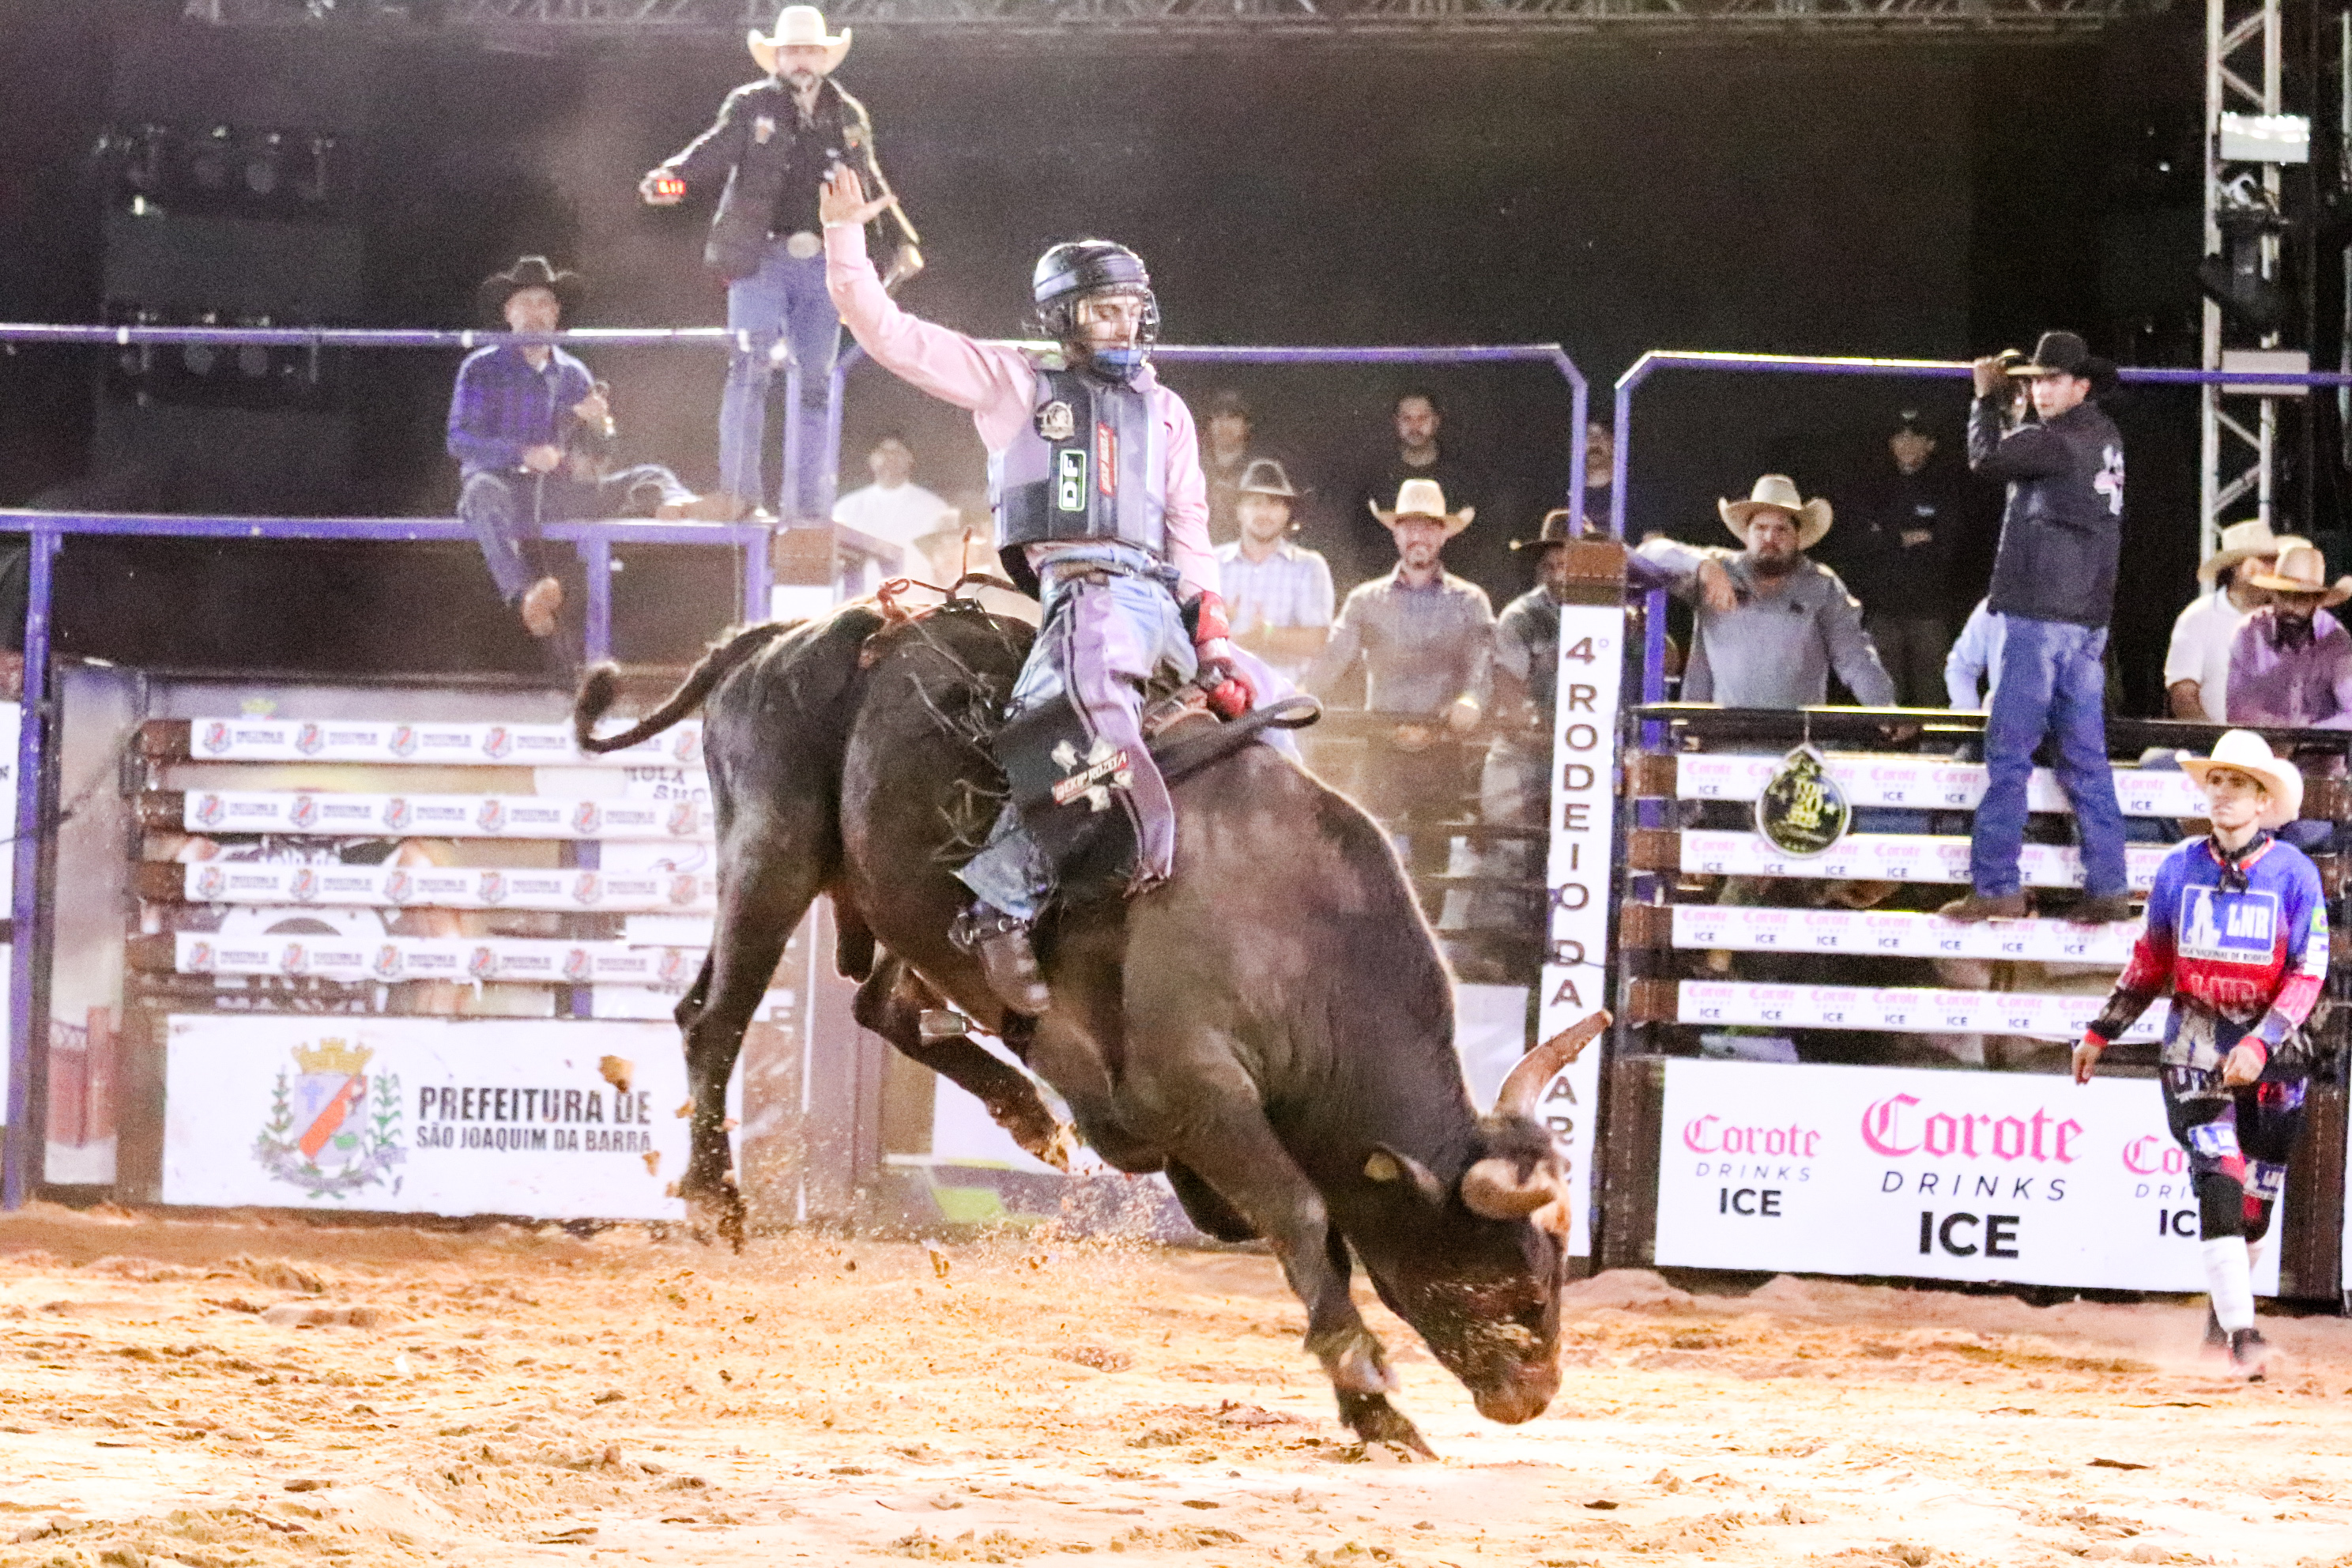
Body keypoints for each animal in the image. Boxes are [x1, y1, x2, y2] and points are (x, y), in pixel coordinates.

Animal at [574, 599, 1599, 1454]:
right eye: (1504, 1276)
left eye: (1552, 1269)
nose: (1535, 1391)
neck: (1297, 931)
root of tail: (779, 635)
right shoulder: (1199, 1095)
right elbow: (1305, 1214)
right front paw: (1372, 1398)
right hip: (771, 856)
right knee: (713, 1019)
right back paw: (716, 1199)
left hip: (899, 901)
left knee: (883, 1004)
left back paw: (1029, 1113)